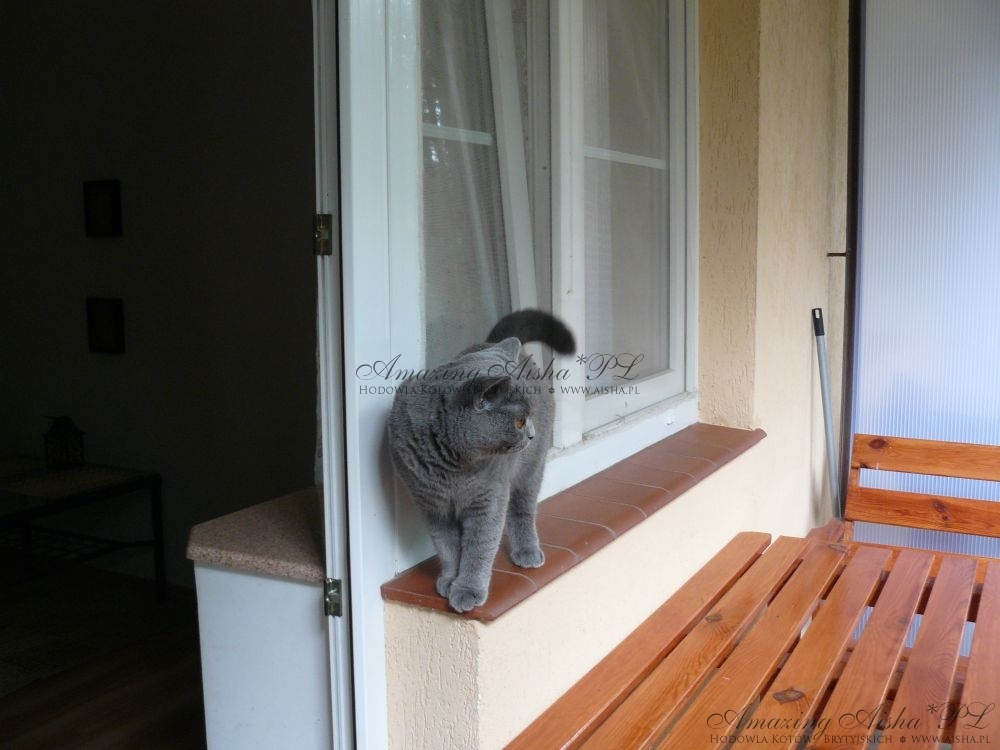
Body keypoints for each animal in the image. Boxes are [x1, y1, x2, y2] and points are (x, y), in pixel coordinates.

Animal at [388, 309, 575, 613]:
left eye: (529, 417)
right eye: (519, 421)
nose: (532, 434)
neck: (452, 467)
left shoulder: (488, 500)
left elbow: (479, 547)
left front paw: (467, 590)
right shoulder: (433, 505)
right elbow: (447, 547)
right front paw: (449, 580)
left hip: (531, 470)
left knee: (523, 509)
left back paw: (527, 551)